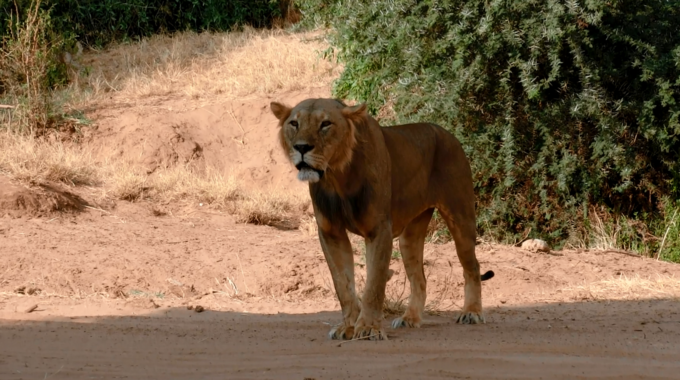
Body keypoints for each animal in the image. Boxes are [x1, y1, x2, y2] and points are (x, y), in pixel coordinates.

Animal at [270, 98, 494, 342]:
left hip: (460, 218)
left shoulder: (379, 230)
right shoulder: (331, 233)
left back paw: (471, 312)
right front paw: (348, 327)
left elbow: (374, 284)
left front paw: (368, 328)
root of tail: (448, 133)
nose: (301, 148)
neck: (337, 178)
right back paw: (410, 318)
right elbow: (343, 285)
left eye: (325, 124)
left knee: (472, 266)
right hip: (409, 238)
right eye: (294, 123)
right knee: (420, 279)